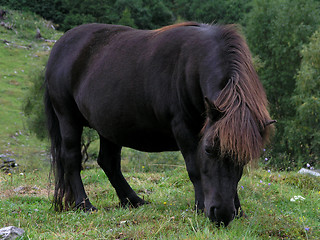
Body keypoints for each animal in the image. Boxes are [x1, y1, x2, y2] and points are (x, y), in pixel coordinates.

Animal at [44, 21, 276, 226]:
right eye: (208, 150)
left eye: (244, 158)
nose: (222, 214)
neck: (194, 64)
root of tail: (60, 46)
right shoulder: (184, 129)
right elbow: (194, 168)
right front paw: (200, 207)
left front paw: (239, 211)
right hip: (68, 118)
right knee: (71, 159)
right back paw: (85, 205)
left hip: (108, 127)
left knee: (108, 162)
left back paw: (134, 201)